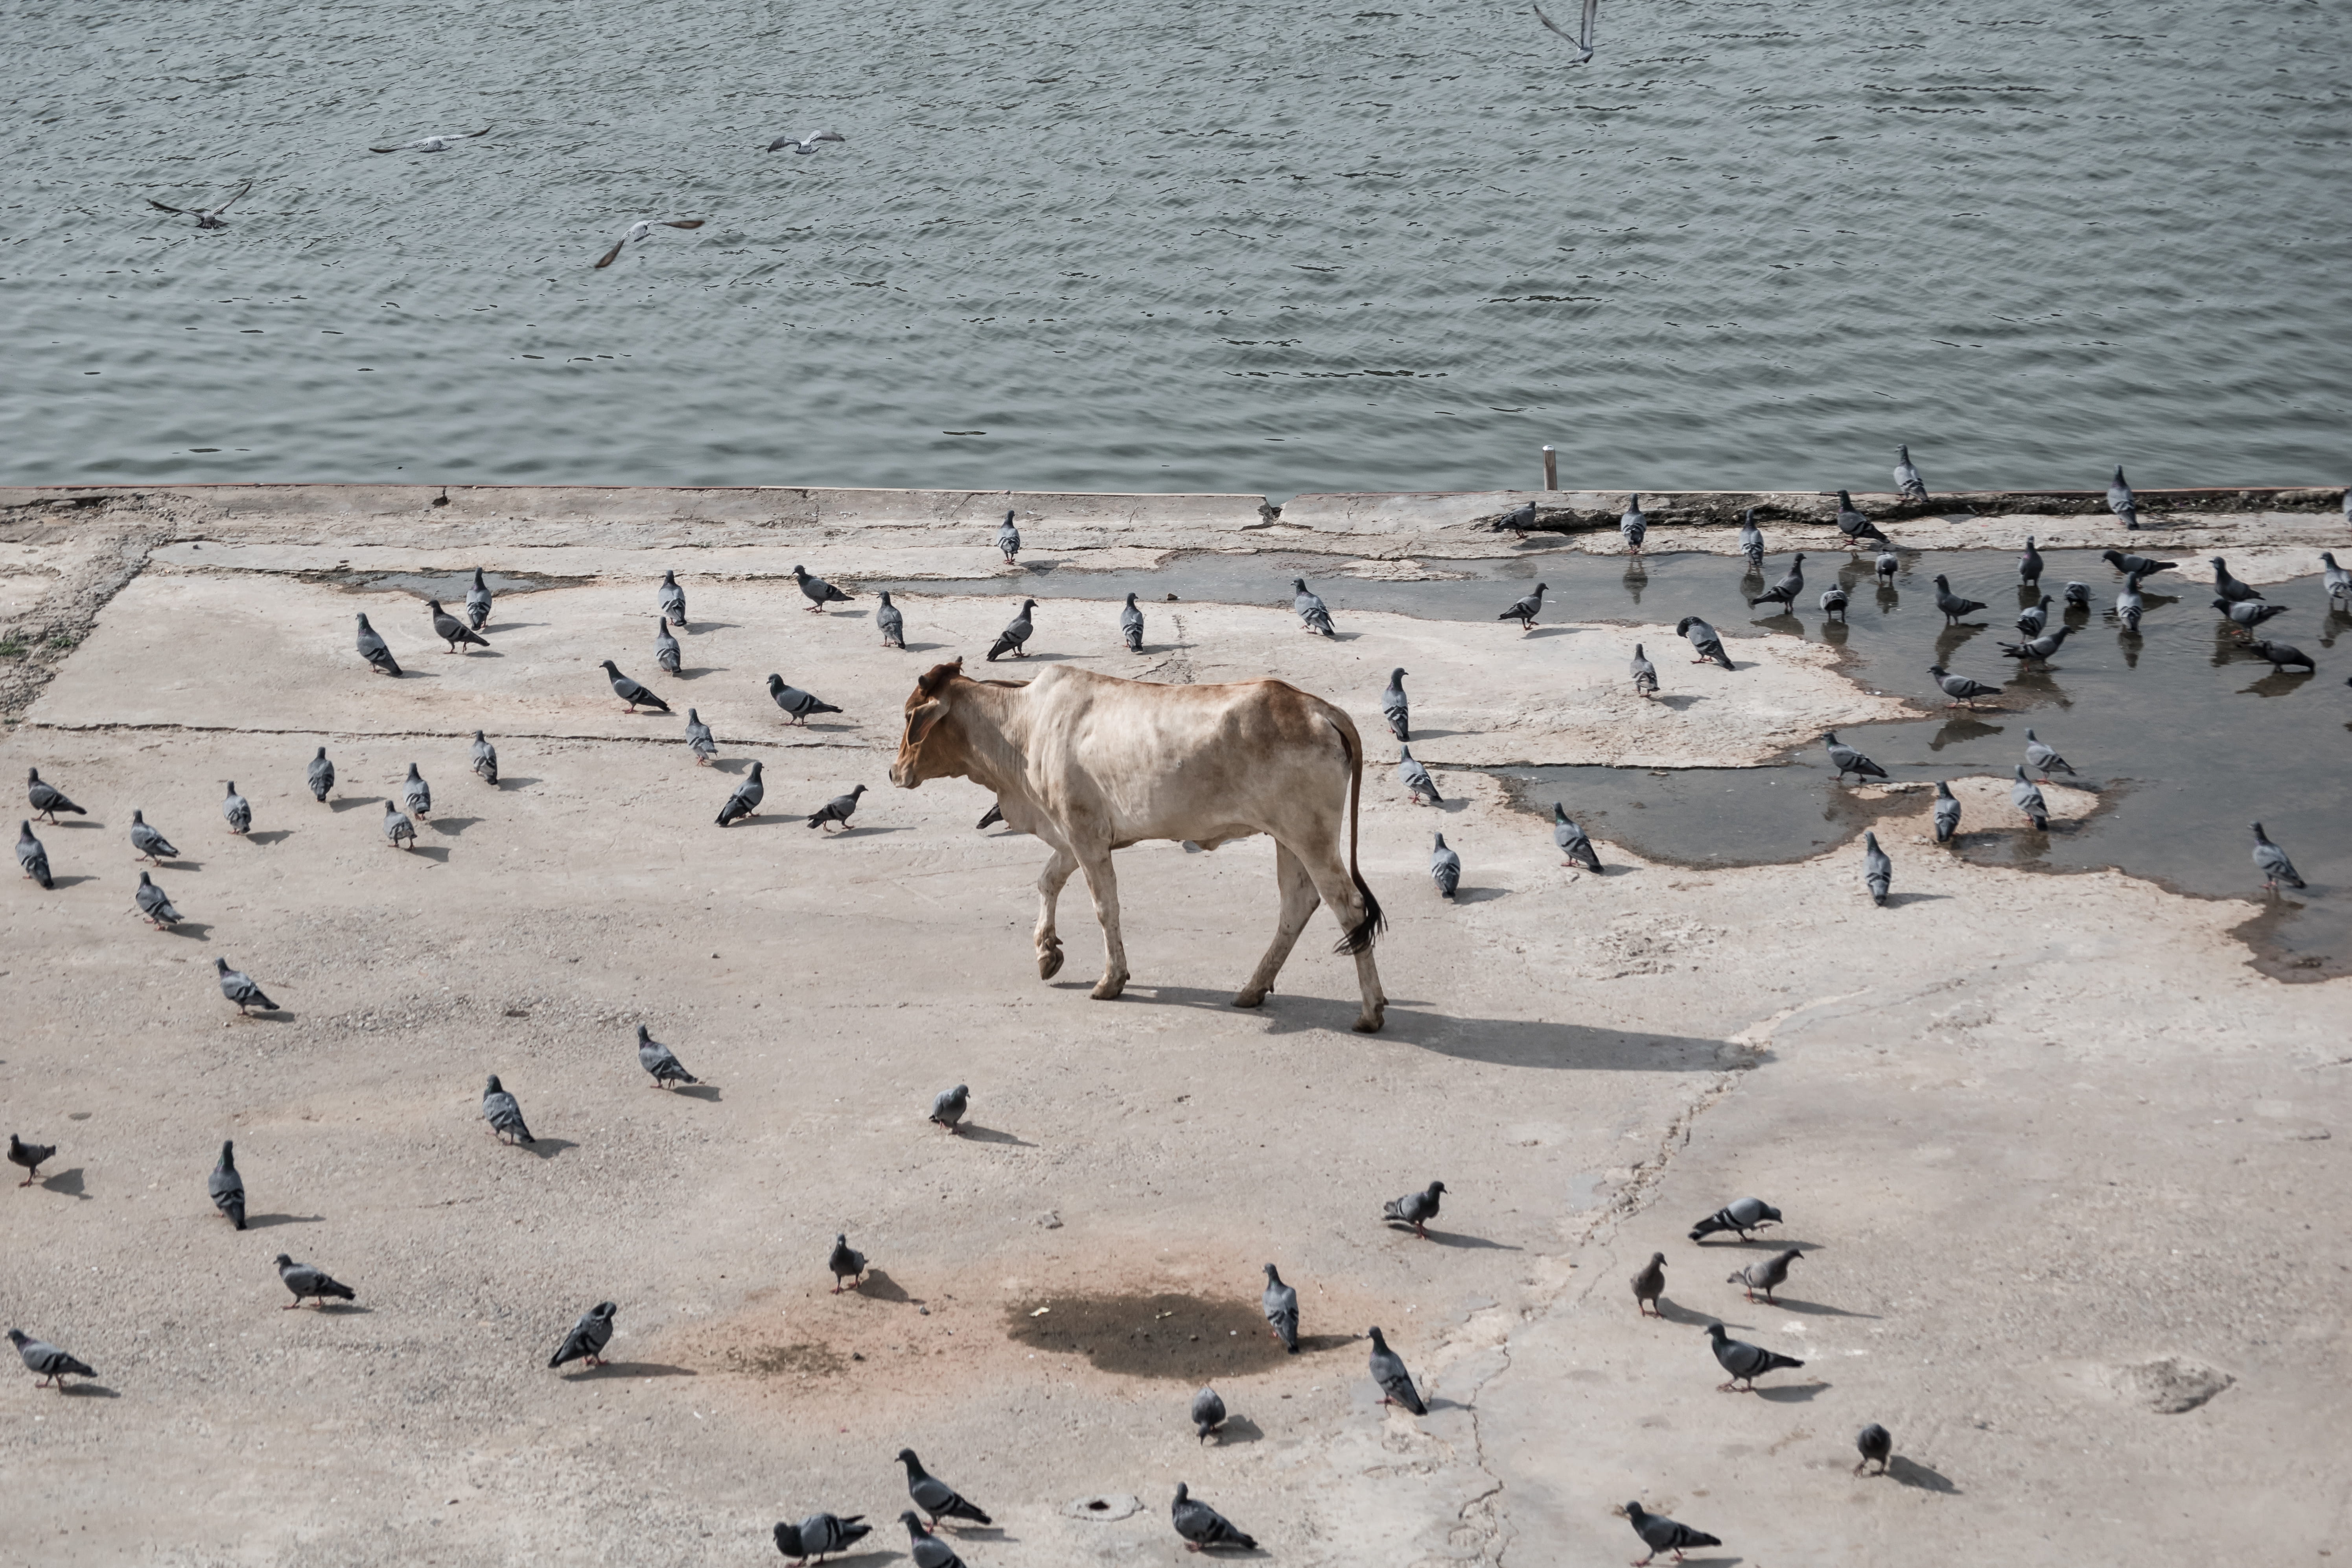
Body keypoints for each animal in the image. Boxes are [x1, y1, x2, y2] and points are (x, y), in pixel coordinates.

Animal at [889, 660, 1389, 1032]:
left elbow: (1104, 906)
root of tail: (1320, 708)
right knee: (1297, 905)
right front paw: (1047, 953)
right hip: (1287, 839)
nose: (894, 772)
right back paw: (1251, 990)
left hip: (1310, 836)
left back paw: (1370, 1011)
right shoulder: (1072, 836)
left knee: (1348, 907)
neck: (1021, 729)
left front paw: (1111, 980)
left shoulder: (1085, 834)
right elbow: (1047, 882)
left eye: (911, 716)